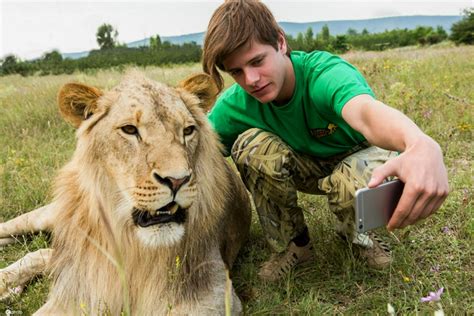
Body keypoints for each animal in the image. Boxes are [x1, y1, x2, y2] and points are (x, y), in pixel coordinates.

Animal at [0, 72, 252, 316]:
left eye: (188, 131)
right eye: (130, 130)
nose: (177, 180)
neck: (131, 245)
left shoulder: (215, 294)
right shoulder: (76, 292)